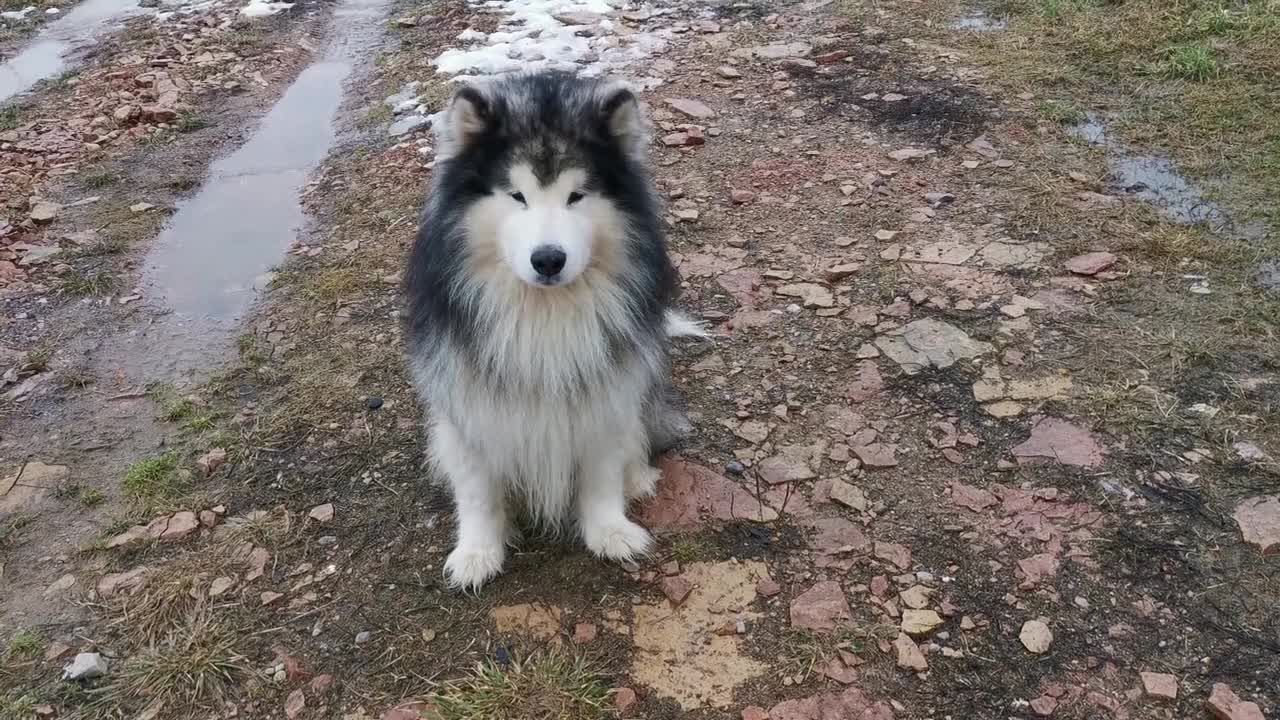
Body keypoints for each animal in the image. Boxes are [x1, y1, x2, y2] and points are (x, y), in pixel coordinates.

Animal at [401, 71, 706, 589]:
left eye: (576, 196)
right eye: (516, 195)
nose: (548, 259)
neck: (543, 313)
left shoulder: (605, 392)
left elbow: (602, 469)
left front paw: (610, 531)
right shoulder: (468, 399)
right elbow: (478, 489)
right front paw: (478, 552)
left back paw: (637, 477)